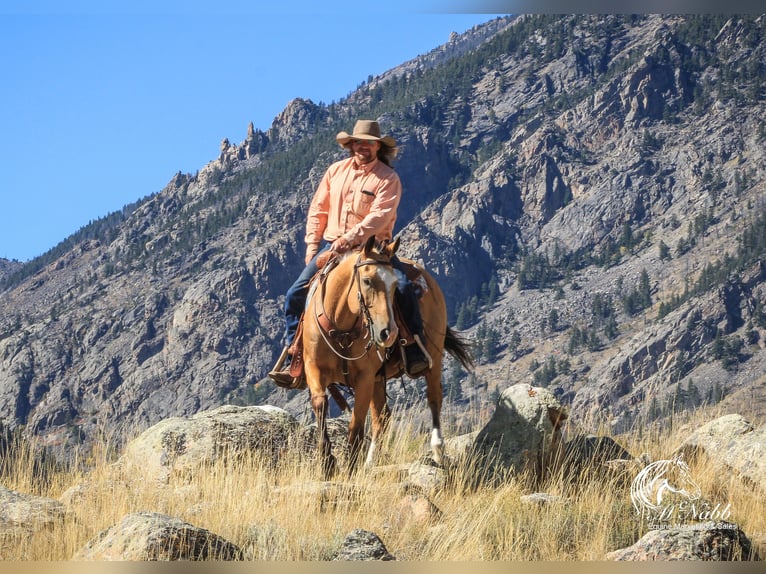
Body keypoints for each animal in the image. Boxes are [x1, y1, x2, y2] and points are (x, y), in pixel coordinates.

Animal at [300, 236, 474, 480]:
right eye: (367, 281)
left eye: (394, 287)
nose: (387, 333)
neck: (342, 328)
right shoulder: (314, 368)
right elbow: (320, 404)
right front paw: (327, 462)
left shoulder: (364, 378)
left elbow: (356, 424)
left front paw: (350, 467)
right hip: (378, 379)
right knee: (382, 417)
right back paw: (370, 463)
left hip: (433, 357)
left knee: (433, 398)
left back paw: (438, 450)